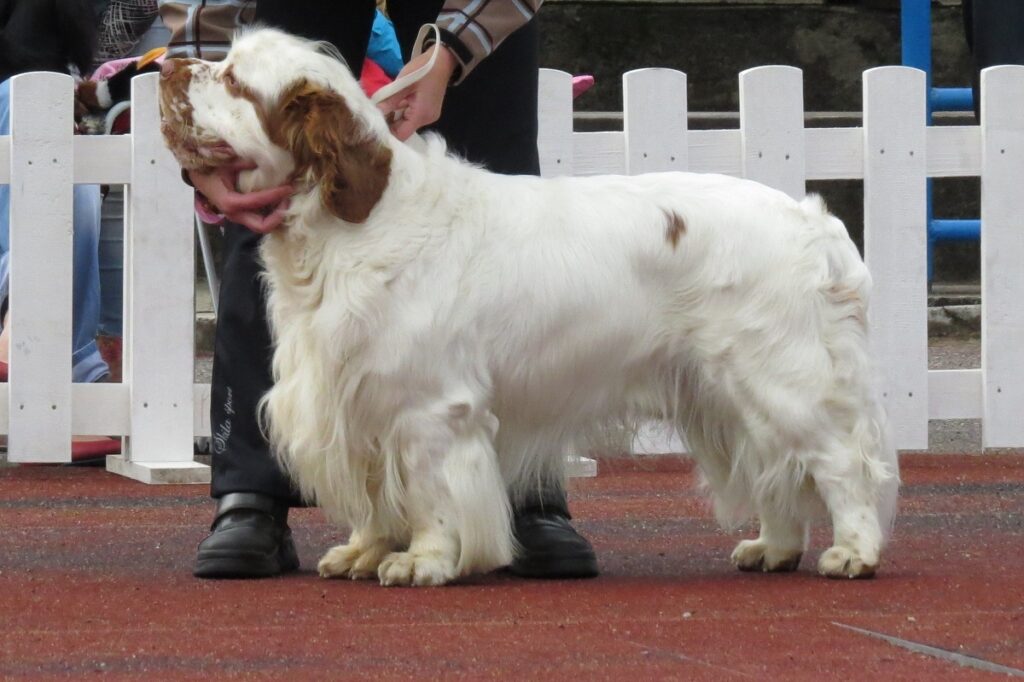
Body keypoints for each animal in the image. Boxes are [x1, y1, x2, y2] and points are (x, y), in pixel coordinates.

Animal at [157, 27, 897, 585]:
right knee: (776, 467)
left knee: (839, 460)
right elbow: (374, 496)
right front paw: (363, 552)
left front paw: (423, 562)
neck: (350, 223)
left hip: (781, 376)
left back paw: (853, 552)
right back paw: (773, 548)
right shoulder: (354, 396)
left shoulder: (430, 408)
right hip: (727, 392)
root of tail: (813, 221)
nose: (166, 65)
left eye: (235, 82)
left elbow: (428, 491)